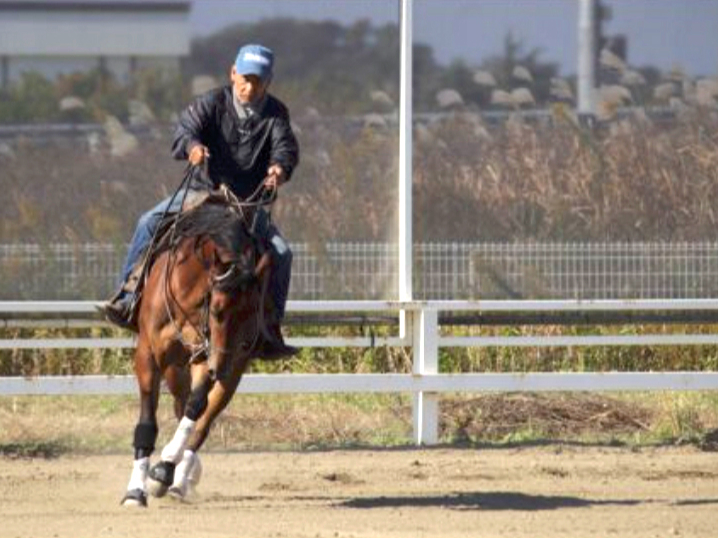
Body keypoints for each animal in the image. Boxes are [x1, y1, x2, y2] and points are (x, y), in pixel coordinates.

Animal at [120, 193, 272, 507]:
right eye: (216, 310)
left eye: (254, 314)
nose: (221, 368)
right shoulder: (148, 354)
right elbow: (147, 421)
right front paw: (135, 491)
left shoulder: (207, 356)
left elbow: (196, 406)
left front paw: (165, 468)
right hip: (176, 364)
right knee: (179, 401)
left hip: (225, 371)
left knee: (201, 419)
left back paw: (179, 478)